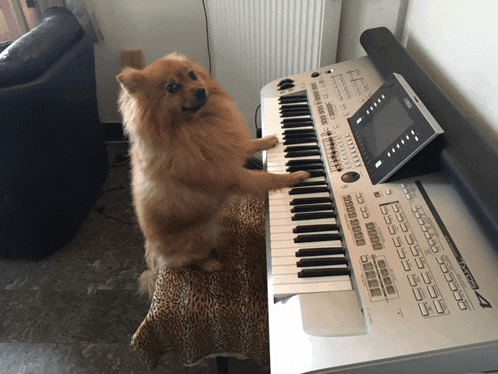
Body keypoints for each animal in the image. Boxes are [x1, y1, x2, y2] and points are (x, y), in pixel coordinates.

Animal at [118, 52, 310, 298]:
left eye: (192, 75)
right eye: (172, 88)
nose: (200, 90)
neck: (198, 125)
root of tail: (154, 257)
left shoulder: (227, 148)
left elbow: (247, 144)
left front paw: (267, 140)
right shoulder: (233, 175)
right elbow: (266, 178)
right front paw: (294, 176)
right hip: (199, 238)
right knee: (188, 261)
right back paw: (209, 263)